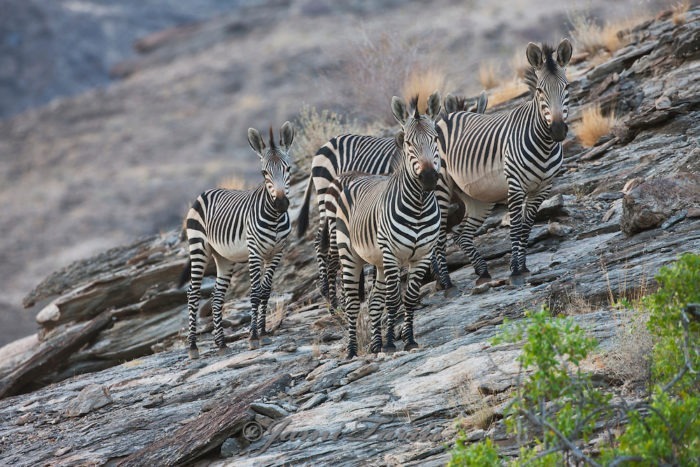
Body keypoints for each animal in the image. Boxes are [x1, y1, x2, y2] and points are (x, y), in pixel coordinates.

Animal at [179, 122, 294, 360]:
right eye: (264, 173)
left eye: (288, 169)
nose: (280, 203)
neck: (275, 218)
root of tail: (206, 191)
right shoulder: (255, 252)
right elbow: (255, 292)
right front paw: (253, 337)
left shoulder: (277, 253)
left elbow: (266, 291)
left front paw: (263, 333)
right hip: (198, 248)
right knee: (192, 292)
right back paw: (193, 347)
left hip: (224, 258)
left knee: (216, 296)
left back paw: (221, 343)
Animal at [324, 94, 440, 358]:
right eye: (408, 143)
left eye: (436, 138)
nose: (429, 178)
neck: (419, 206)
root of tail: (351, 174)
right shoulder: (391, 254)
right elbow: (393, 299)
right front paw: (389, 343)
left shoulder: (423, 255)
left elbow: (409, 298)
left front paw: (408, 340)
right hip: (351, 254)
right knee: (354, 303)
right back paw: (352, 350)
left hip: (377, 261)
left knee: (374, 300)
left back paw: (375, 344)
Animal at [438, 38, 576, 286]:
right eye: (540, 90)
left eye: (567, 87)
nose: (558, 130)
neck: (545, 144)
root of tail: (447, 115)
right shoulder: (515, 186)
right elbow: (515, 227)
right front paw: (514, 270)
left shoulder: (542, 188)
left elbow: (526, 227)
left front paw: (522, 266)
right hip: (441, 188)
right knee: (439, 236)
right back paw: (445, 282)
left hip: (477, 197)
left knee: (461, 235)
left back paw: (482, 270)